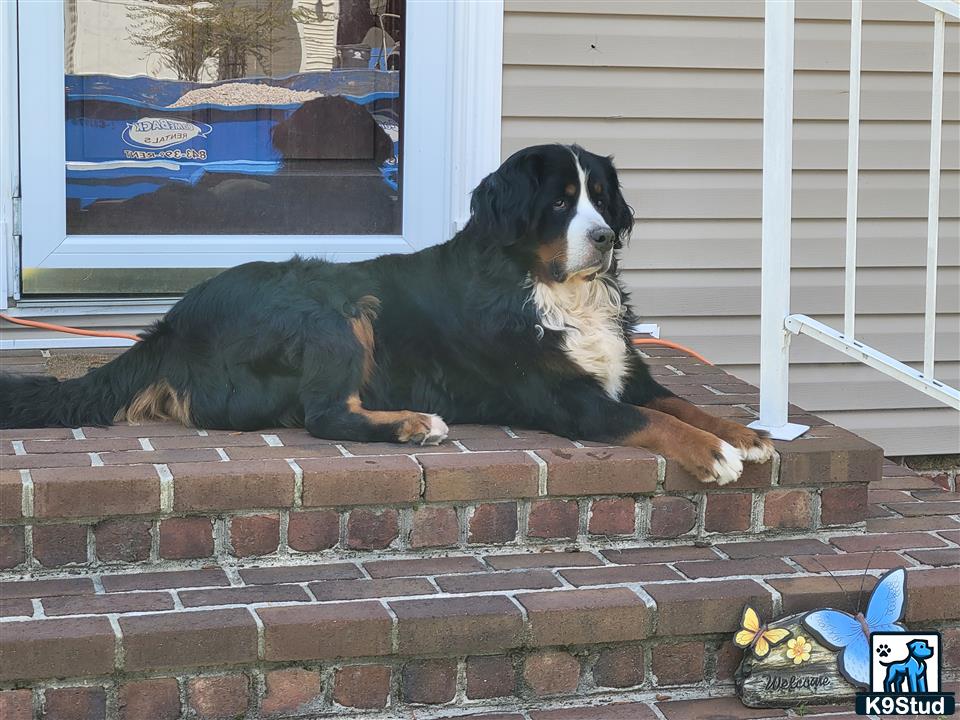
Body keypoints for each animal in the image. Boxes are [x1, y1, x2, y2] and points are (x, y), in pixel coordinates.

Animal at [1, 144, 772, 484]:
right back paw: (412, 423)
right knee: (322, 415)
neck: (551, 288)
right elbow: (653, 421)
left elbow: (683, 402)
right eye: (559, 202)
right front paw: (714, 454)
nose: (606, 237)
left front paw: (746, 433)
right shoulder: (570, 399)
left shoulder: (627, 373)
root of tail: (173, 321)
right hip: (335, 304)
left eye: (601, 197)